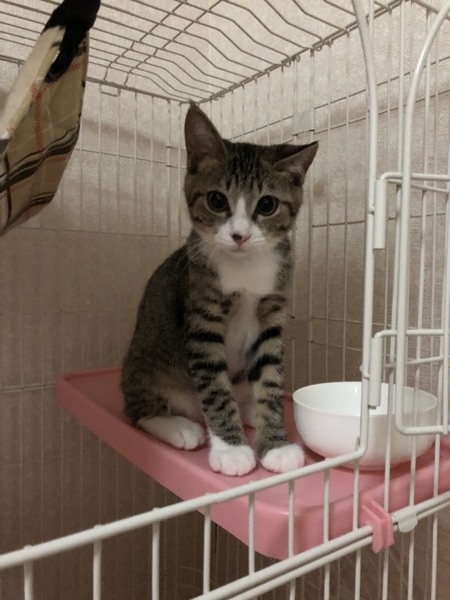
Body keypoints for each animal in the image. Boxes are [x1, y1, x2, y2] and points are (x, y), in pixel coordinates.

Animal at [120, 104, 318, 476]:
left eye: (267, 205)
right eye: (216, 199)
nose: (240, 235)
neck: (244, 268)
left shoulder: (270, 310)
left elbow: (270, 378)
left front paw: (276, 444)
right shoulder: (202, 313)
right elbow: (213, 384)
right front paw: (232, 449)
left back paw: (247, 408)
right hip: (146, 364)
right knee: (138, 411)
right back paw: (179, 426)